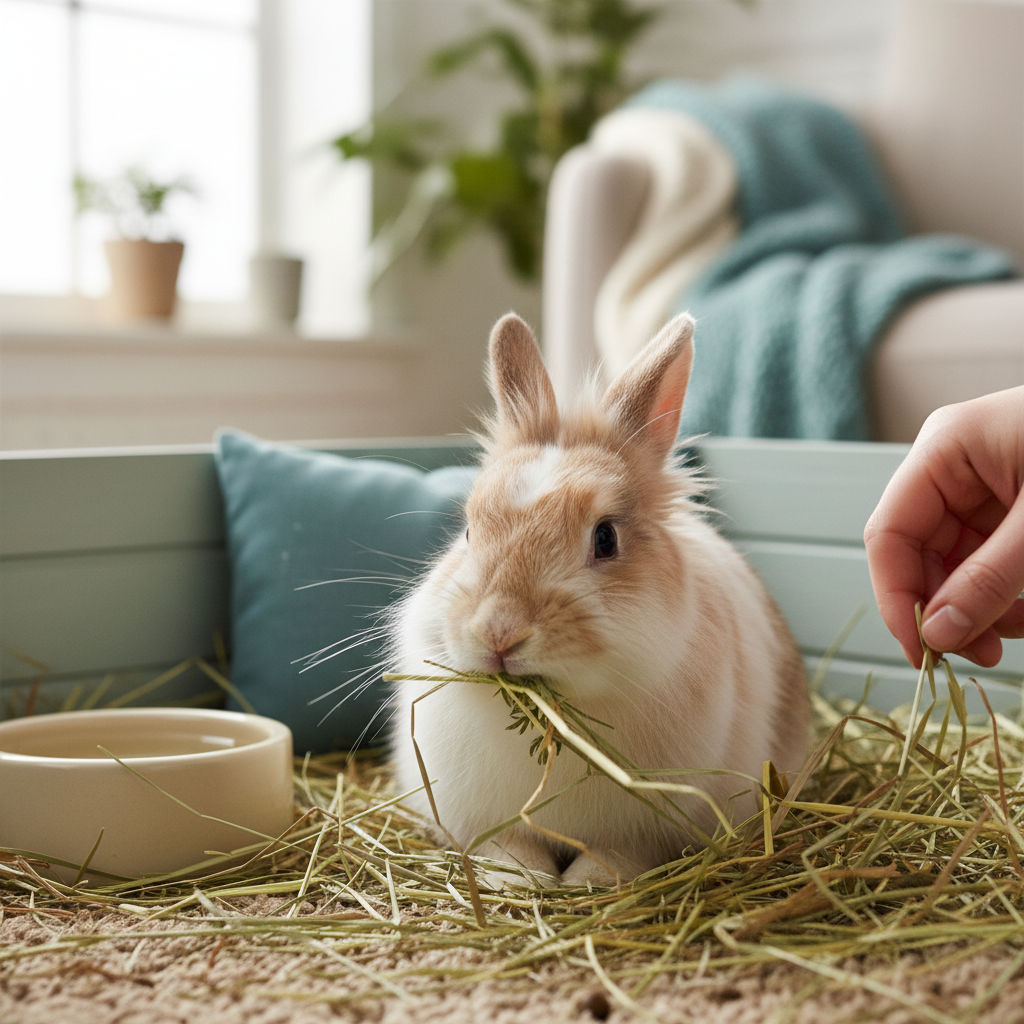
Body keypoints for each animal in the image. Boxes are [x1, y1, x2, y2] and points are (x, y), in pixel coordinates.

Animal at [388, 311, 810, 887]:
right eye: (469, 531)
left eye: (605, 538)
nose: (499, 631)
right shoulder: (485, 821)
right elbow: (509, 847)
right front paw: (519, 879)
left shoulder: (648, 833)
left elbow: (617, 854)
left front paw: (585, 881)